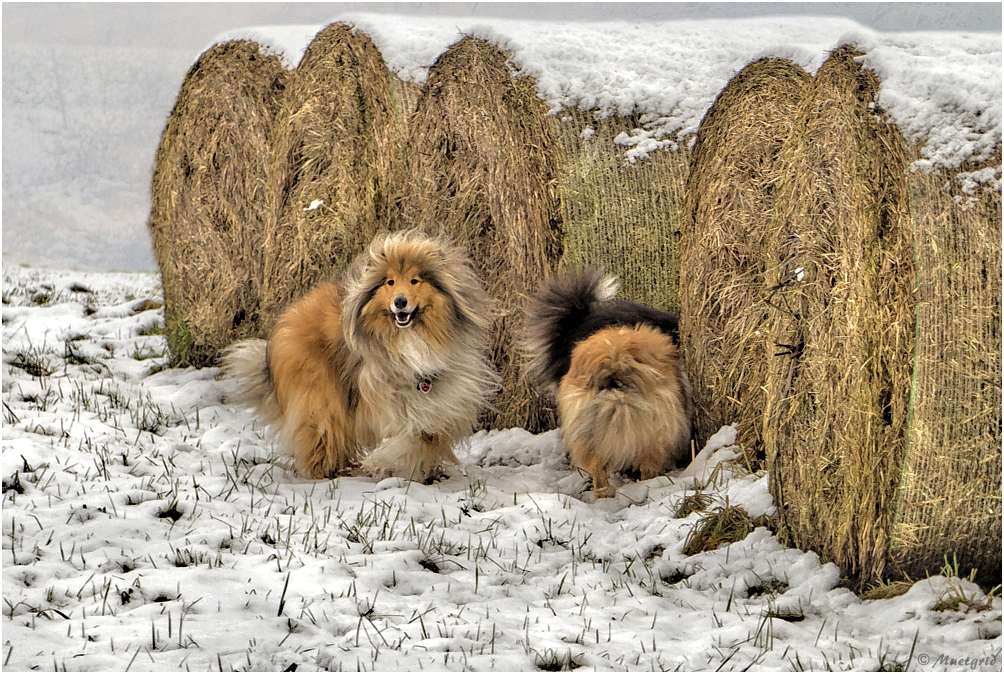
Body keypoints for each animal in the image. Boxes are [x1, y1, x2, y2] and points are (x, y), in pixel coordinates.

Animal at [223, 231, 497, 480]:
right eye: (389, 282)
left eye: (415, 280)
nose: (400, 302)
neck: (409, 339)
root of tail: (291, 314)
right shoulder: (385, 399)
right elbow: (406, 438)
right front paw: (379, 461)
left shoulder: (441, 405)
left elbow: (422, 436)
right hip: (321, 395)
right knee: (323, 430)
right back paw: (326, 472)